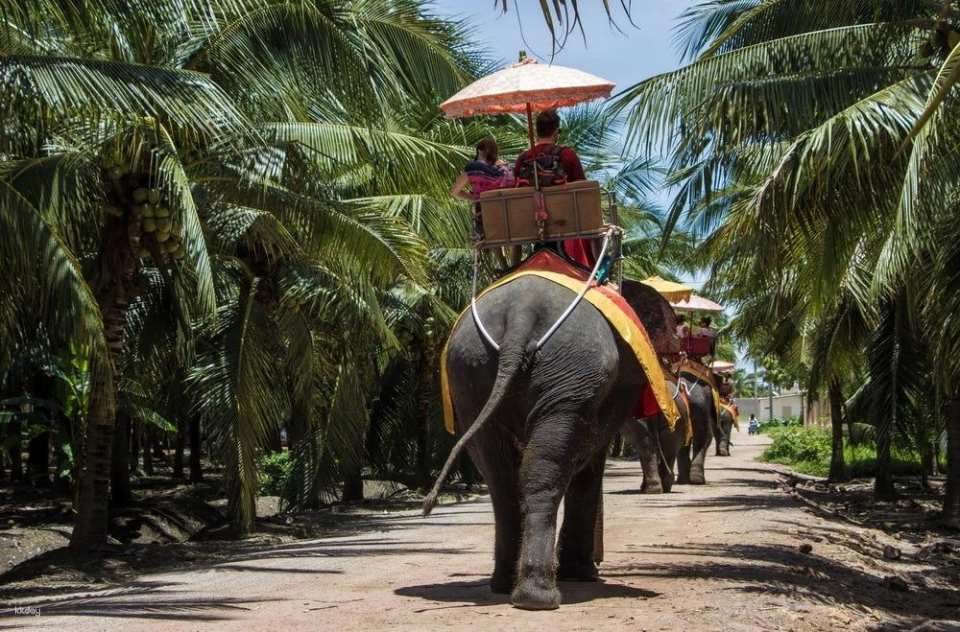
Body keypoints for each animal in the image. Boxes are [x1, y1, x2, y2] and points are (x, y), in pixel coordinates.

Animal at [423, 274, 677, 610]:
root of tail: (521, 311)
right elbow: (589, 462)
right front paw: (583, 575)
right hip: (571, 371)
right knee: (544, 470)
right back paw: (538, 596)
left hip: (470, 370)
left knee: (500, 477)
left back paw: (504, 585)